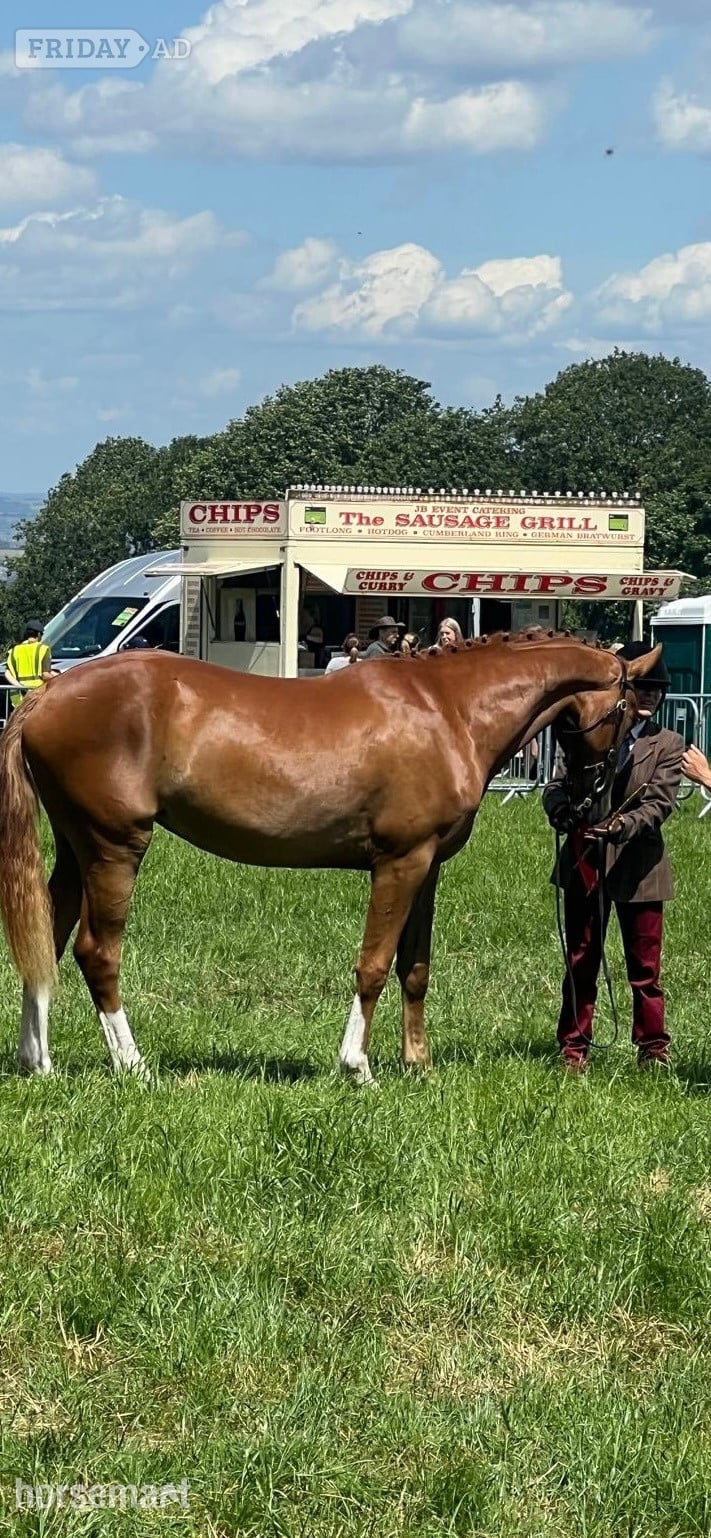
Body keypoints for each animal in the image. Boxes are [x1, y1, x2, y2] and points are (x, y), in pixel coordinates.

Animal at [0, 632, 660, 1085]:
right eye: (630, 713)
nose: (589, 799)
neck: (448, 709)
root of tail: (48, 693)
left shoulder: (429, 869)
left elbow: (414, 968)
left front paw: (417, 1065)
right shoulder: (400, 862)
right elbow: (374, 965)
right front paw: (357, 1066)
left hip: (76, 848)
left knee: (46, 942)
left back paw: (39, 1062)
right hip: (115, 847)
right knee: (95, 952)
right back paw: (132, 1064)